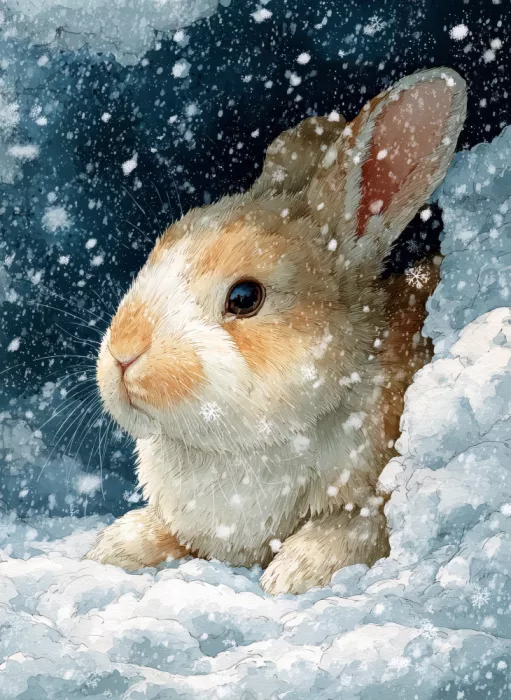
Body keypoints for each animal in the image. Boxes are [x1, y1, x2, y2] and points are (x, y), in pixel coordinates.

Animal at [85, 67, 467, 594]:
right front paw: (114, 545)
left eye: (245, 297)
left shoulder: (375, 505)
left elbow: (352, 531)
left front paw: (289, 574)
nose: (123, 354)